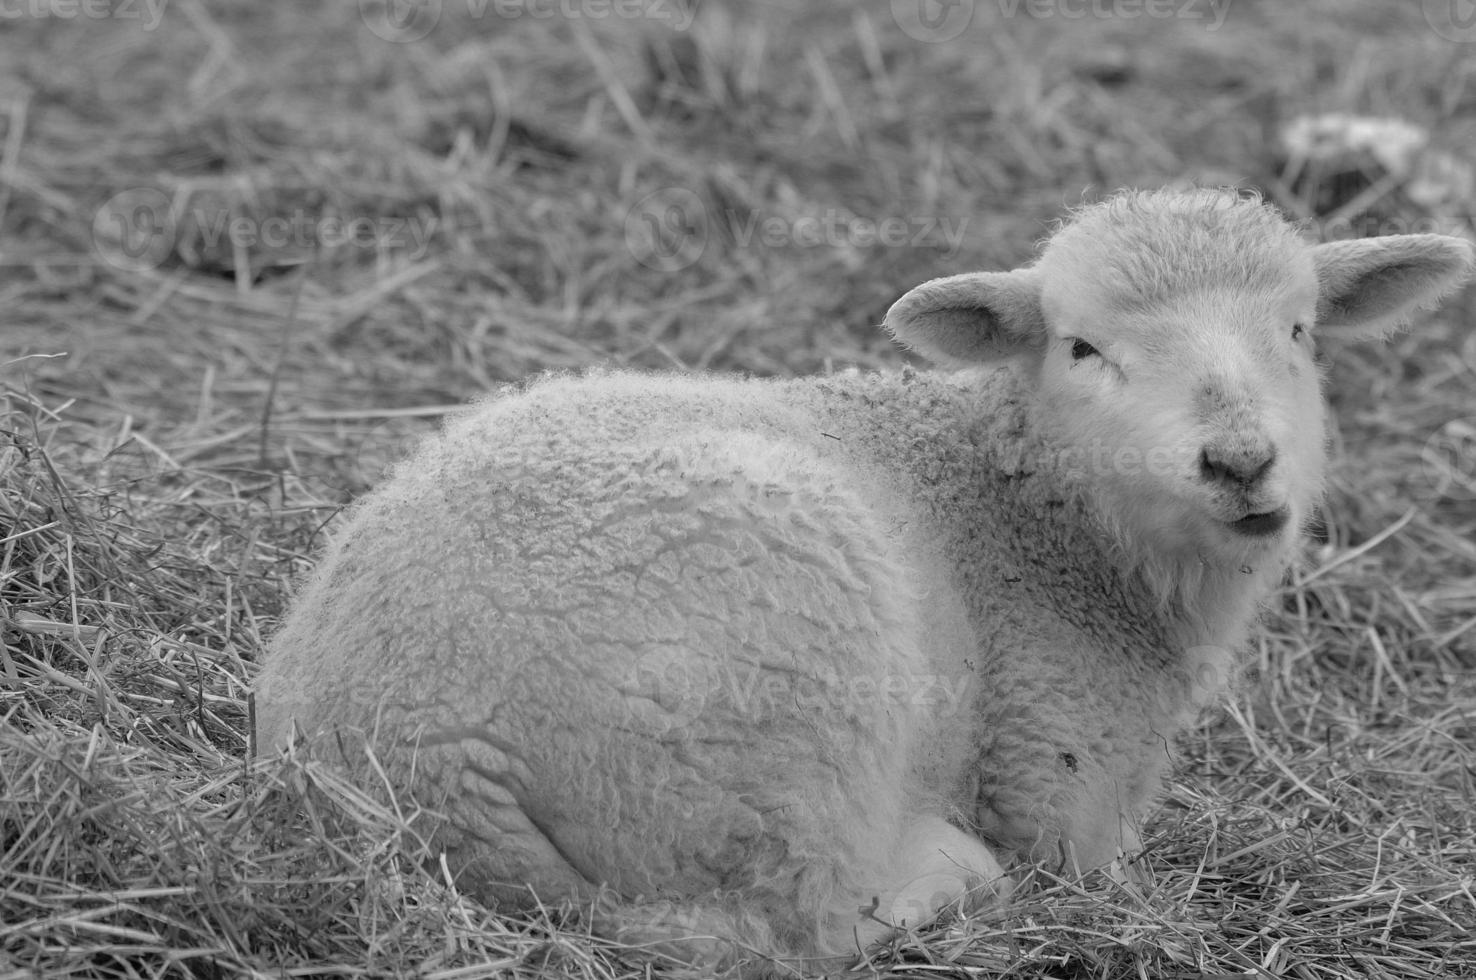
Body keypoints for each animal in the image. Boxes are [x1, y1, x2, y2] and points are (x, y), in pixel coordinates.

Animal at [256, 188, 1476, 974]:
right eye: (1081, 347)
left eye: (1300, 330)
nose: (1240, 461)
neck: (1039, 518)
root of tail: (420, 757)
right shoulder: (1058, 767)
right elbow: (1075, 857)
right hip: (783, 704)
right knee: (798, 928)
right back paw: (939, 870)